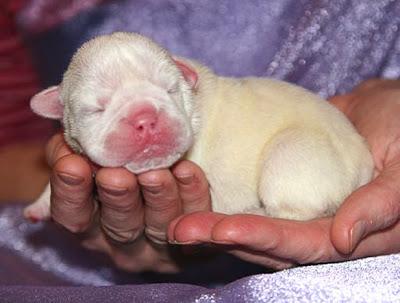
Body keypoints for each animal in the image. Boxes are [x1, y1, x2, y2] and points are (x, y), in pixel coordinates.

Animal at [24, 32, 376, 223]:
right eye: (97, 108)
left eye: (169, 90)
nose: (145, 118)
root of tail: (365, 166)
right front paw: (40, 205)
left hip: (292, 154)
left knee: (295, 211)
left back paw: (251, 213)